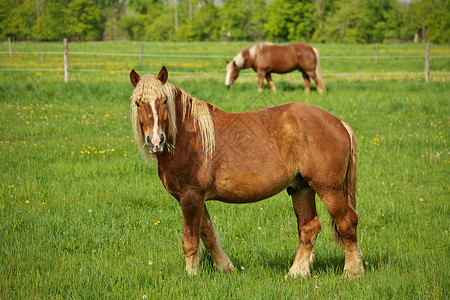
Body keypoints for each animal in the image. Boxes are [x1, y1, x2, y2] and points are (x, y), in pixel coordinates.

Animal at [129, 67, 362, 278]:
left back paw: (352, 272)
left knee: (347, 222)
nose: (155, 141)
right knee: (309, 228)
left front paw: (191, 276)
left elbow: (190, 240)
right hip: (301, 188)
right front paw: (226, 268)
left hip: (328, 189)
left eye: (163, 101)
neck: (189, 137)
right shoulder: (197, 199)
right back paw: (296, 273)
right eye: (138, 103)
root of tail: (339, 123)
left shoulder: (190, 197)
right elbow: (208, 234)